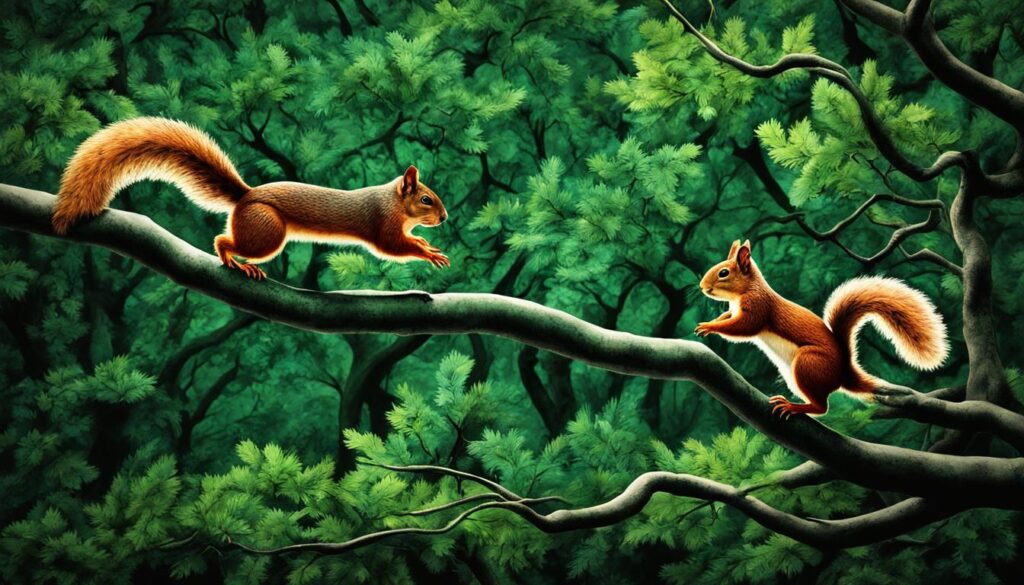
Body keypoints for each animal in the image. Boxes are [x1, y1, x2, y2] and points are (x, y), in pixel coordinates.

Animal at [51, 117, 450, 280]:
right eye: (426, 200)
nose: (445, 218)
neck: (394, 204)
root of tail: (246, 196)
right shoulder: (381, 223)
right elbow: (392, 247)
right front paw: (429, 253)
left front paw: (426, 244)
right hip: (266, 231)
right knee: (222, 239)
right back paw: (236, 262)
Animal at [695, 239, 948, 417]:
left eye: (724, 273)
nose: (702, 287)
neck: (746, 291)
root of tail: (843, 374)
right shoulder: (735, 308)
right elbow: (729, 317)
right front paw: (714, 320)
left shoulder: (758, 307)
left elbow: (743, 328)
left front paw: (709, 326)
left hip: (808, 364)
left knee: (821, 407)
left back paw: (794, 407)